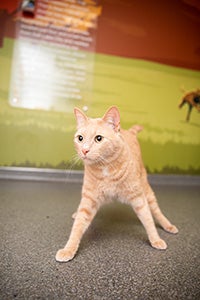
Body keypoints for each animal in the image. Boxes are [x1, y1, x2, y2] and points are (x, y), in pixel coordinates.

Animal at [55, 106, 178, 262]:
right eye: (80, 138)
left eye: (98, 138)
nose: (84, 150)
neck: (106, 168)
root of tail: (129, 131)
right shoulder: (89, 199)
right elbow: (78, 226)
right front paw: (68, 249)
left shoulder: (139, 198)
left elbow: (148, 219)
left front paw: (155, 239)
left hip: (146, 189)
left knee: (156, 210)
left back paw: (168, 225)